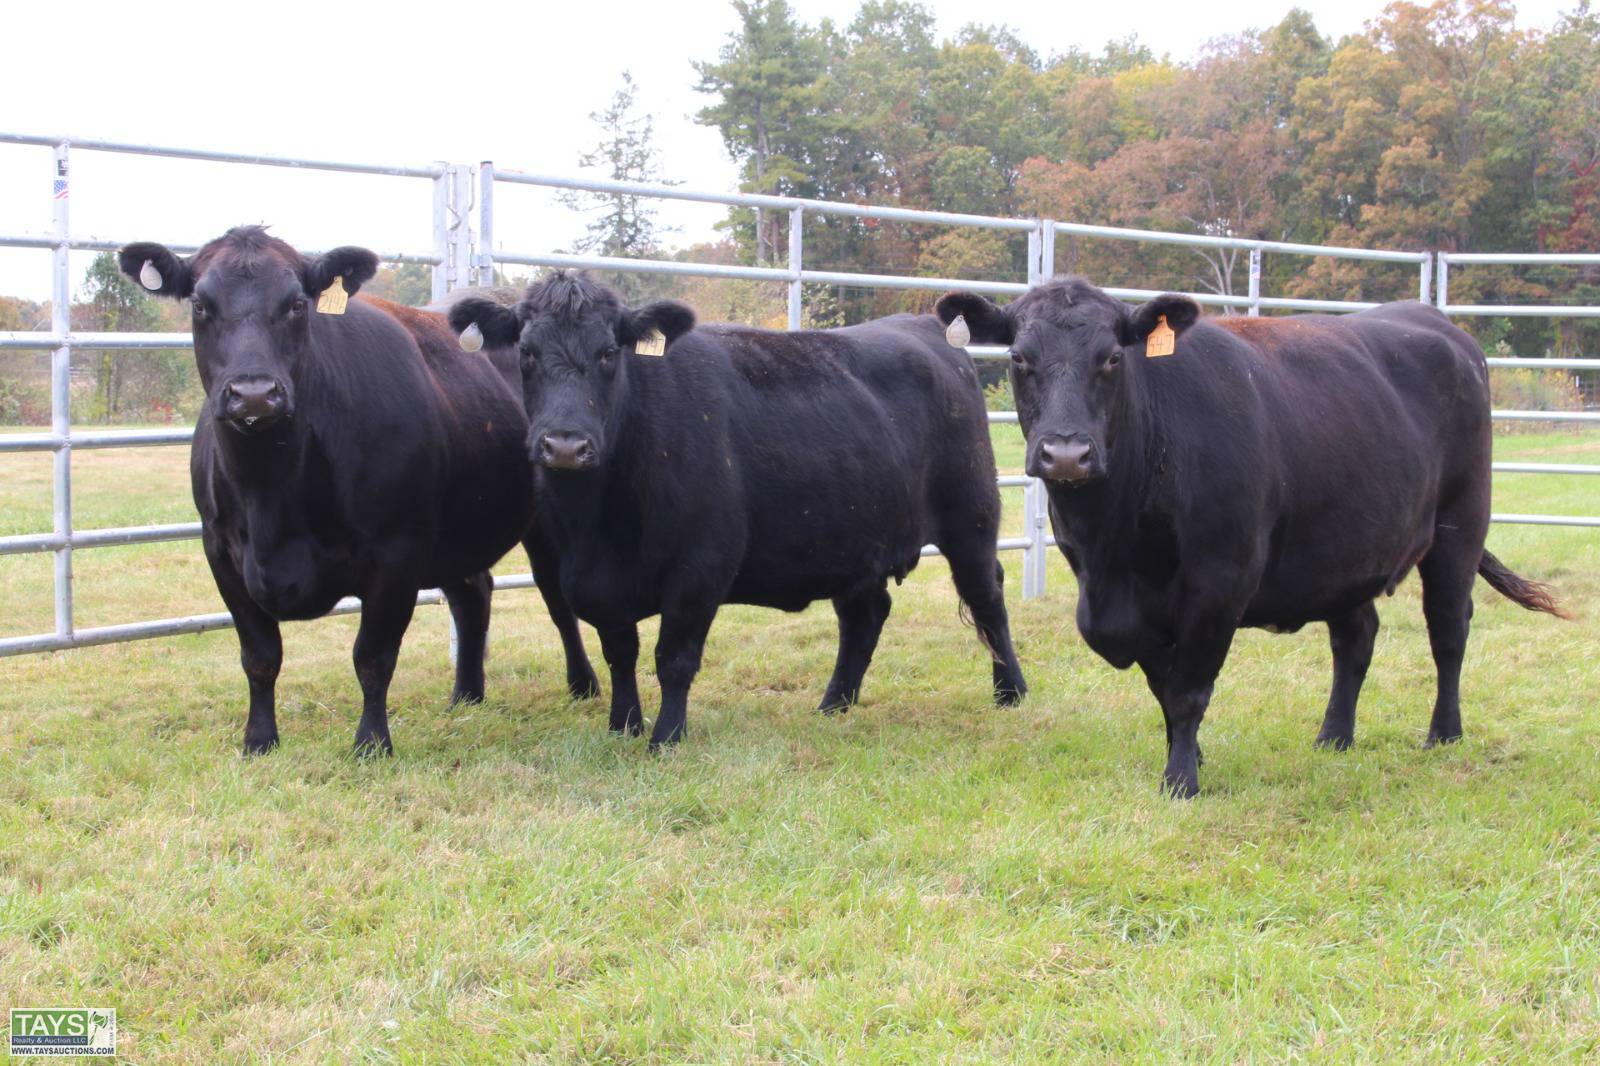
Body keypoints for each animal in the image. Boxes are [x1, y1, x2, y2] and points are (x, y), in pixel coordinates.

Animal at [117, 227, 599, 756]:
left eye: (297, 304)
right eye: (200, 305)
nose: (254, 393)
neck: (272, 493)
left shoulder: (397, 552)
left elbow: (373, 657)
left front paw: (371, 743)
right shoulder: (221, 551)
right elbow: (260, 657)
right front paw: (259, 741)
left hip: (543, 521)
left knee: (555, 599)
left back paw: (583, 684)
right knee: (473, 593)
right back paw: (466, 696)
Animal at [445, 272, 1028, 748]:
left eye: (609, 352)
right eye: (525, 352)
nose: (565, 445)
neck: (597, 524)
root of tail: (922, 326)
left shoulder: (700, 568)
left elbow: (673, 659)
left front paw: (665, 737)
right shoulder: (594, 580)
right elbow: (621, 654)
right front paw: (622, 725)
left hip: (972, 519)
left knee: (987, 597)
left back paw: (1010, 692)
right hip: (857, 539)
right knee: (865, 616)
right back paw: (833, 705)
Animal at [935, 277, 1565, 797]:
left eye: (1112, 357)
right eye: (1019, 358)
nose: (1066, 452)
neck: (1116, 548)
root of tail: (1437, 322)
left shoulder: (1221, 580)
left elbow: (1188, 689)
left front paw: (1180, 781)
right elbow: (1164, 686)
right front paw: (1189, 757)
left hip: (1460, 525)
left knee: (1448, 631)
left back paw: (1443, 734)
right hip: (1345, 551)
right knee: (1355, 638)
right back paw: (1333, 738)